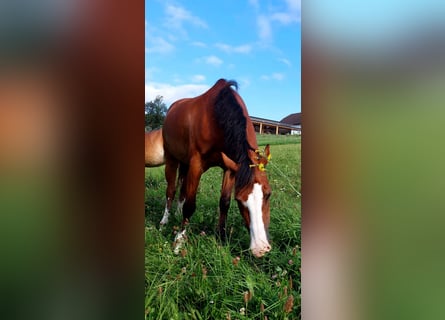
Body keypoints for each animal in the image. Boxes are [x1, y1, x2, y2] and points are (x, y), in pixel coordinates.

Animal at [160, 79, 270, 258]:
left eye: (268, 194)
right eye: (240, 200)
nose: (260, 249)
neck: (216, 117)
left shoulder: (230, 168)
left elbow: (224, 202)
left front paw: (222, 238)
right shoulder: (196, 164)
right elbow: (190, 204)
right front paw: (179, 241)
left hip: (185, 163)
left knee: (182, 188)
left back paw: (177, 213)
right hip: (172, 159)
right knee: (171, 190)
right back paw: (165, 220)